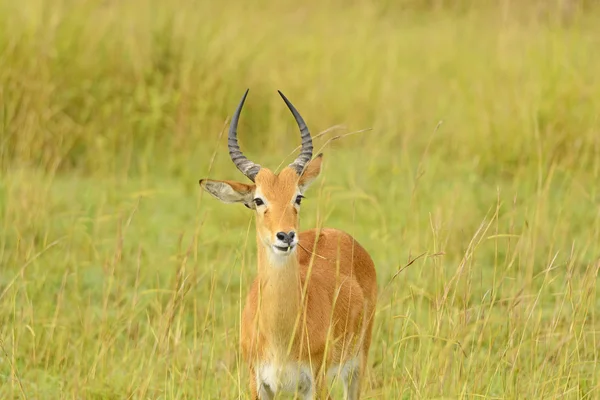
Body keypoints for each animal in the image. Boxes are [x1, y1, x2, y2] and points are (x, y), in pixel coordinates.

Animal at [198, 90, 376, 400]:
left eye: (298, 197)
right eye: (258, 199)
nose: (286, 236)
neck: (280, 334)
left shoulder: (315, 383)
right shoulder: (258, 384)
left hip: (356, 365)